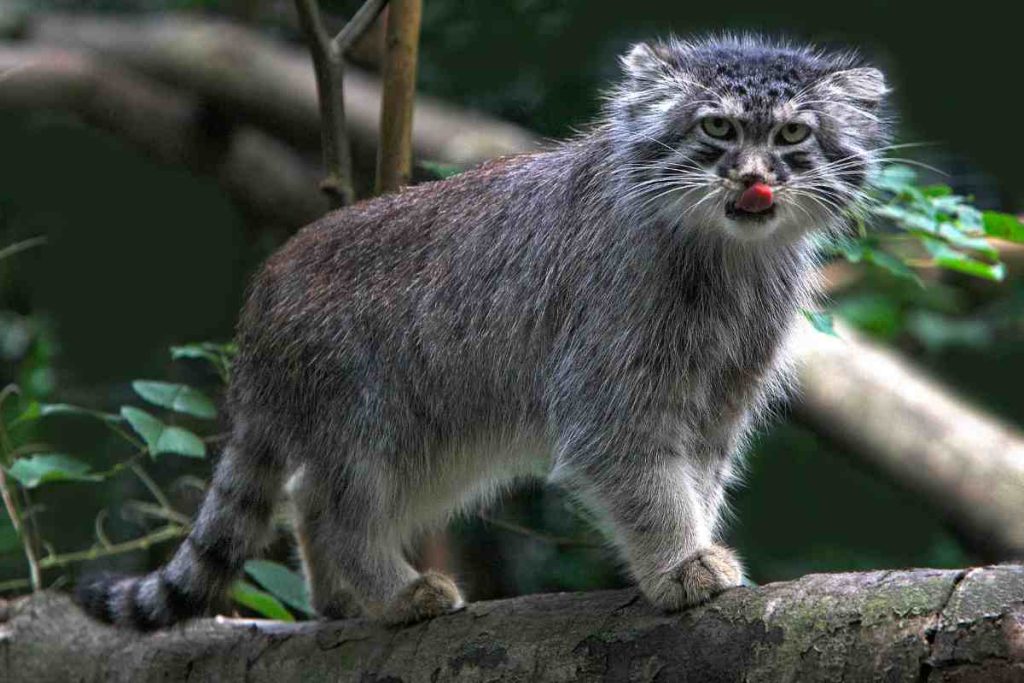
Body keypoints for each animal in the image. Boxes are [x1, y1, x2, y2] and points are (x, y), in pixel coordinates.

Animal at [79, 33, 888, 630]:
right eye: (716, 127)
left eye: (793, 134)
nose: (754, 178)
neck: (728, 261)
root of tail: (261, 300)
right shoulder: (610, 392)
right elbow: (651, 483)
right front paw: (679, 562)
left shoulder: (722, 395)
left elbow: (698, 478)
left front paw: (689, 546)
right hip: (369, 414)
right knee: (338, 510)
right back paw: (394, 593)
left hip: (433, 440)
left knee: (308, 496)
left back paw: (344, 600)